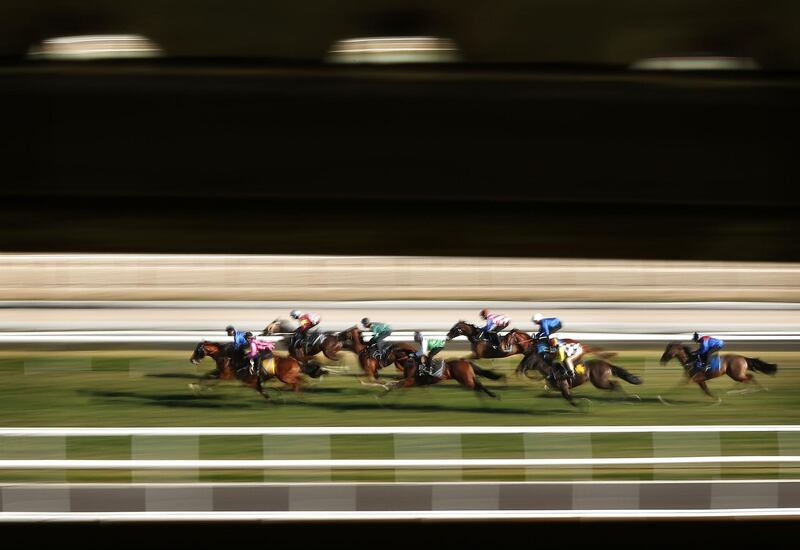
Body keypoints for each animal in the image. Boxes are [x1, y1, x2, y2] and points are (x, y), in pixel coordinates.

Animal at [188, 340, 324, 402]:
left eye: (197, 351)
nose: (192, 360)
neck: (226, 355)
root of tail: (295, 360)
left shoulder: (226, 375)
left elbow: (213, 379)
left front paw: (204, 388)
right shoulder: (223, 372)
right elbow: (206, 375)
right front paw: (194, 386)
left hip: (284, 376)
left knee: (297, 383)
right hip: (288, 375)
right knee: (301, 381)